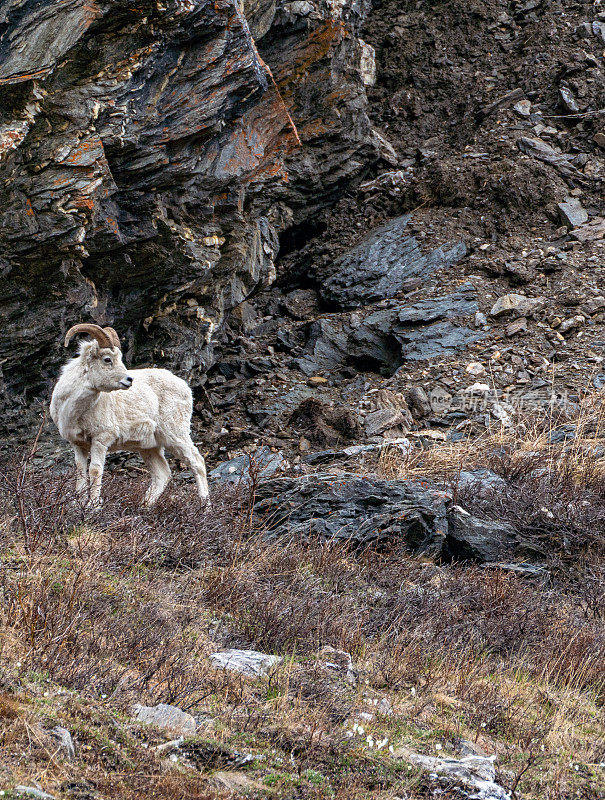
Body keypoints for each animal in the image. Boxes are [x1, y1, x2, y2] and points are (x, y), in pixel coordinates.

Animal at [50, 324, 210, 506]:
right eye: (107, 359)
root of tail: (185, 387)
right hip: (150, 447)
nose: (129, 380)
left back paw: (205, 507)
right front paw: (79, 504)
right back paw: (145, 506)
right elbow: (80, 471)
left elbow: (95, 470)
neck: (74, 410)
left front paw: (93, 506)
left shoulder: (100, 440)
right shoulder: (78, 444)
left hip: (175, 435)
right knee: (162, 474)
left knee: (197, 463)